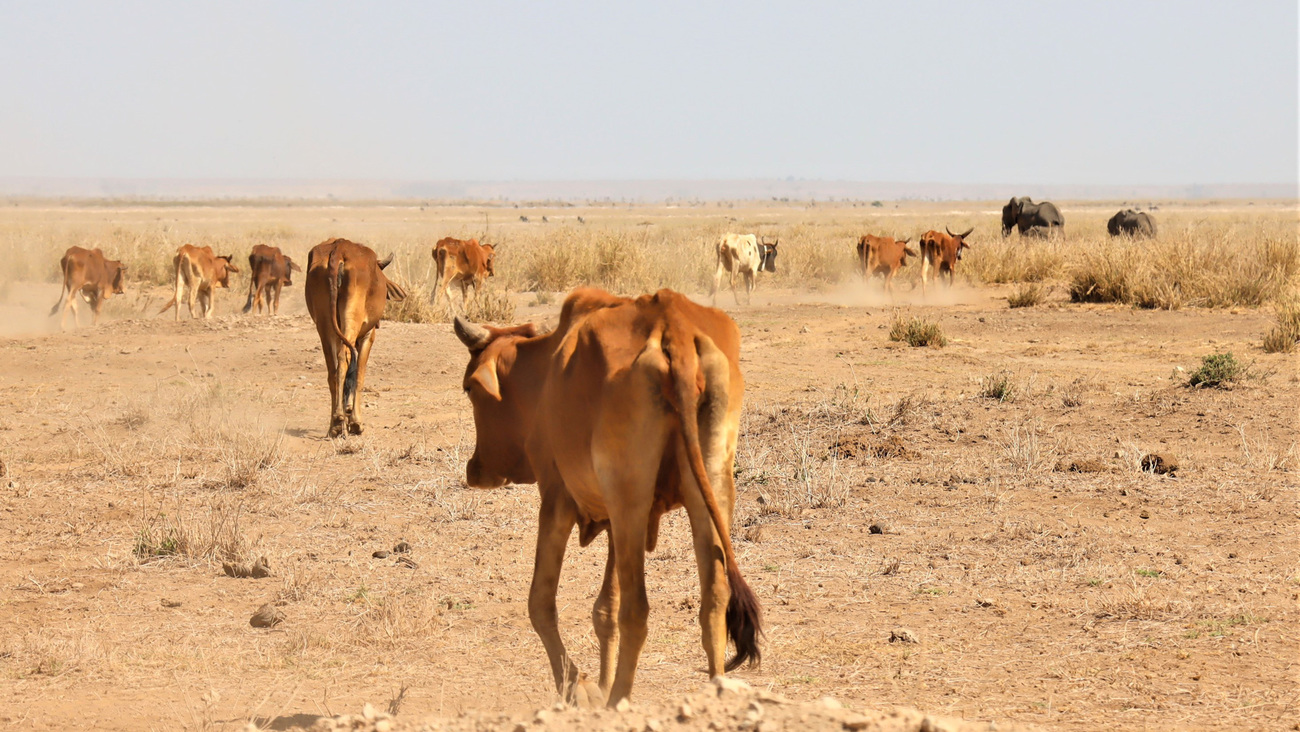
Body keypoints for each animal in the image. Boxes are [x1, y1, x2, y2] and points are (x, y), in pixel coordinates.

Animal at [304, 237, 405, 439]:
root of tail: (339, 248)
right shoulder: (367, 336)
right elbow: (359, 375)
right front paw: (355, 422)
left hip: (325, 327)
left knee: (333, 373)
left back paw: (334, 425)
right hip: (351, 321)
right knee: (344, 361)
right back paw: (343, 421)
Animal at [454, 289, 759, 707]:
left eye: (469, 389)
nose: (474, 469)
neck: (549, 371)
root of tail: (672, 324)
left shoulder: (558, 498)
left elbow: (541, 603)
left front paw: (578, 688)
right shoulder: (615, 519)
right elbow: (604, 610)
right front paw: (597, 682)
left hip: (630, 497)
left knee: (637, 609)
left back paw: (618, 701)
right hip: (707, 486)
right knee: (714, 596)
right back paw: (715, 692)